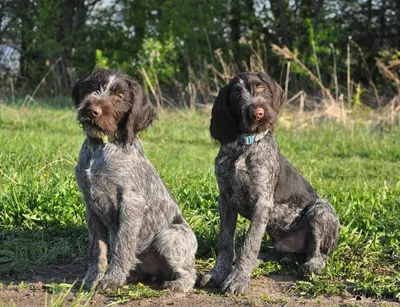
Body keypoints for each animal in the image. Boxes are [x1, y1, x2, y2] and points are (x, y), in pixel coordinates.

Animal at [72, 68, 198, 292]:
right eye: (94, 88)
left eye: (120, 96)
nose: (92, 109)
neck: (101, 147)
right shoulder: (91, 206)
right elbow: (97, 250)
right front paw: (93, 278)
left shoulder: (131, 203)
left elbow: (122, 245)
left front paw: (112, 279)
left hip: (169, 236)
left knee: (191, 273)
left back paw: (176, 285)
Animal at [198, 73, 340, 296]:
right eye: (236, 94)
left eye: (260, 88)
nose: (258, 112)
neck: (245, 144)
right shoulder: (225, 201)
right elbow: (226, 242)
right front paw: (218, 273)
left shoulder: (262, 202)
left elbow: (250, 242)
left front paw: (238, 279)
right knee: (274, 253)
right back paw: (262, 260)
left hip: (320, 209)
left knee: (319, 253)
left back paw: (311, 265)